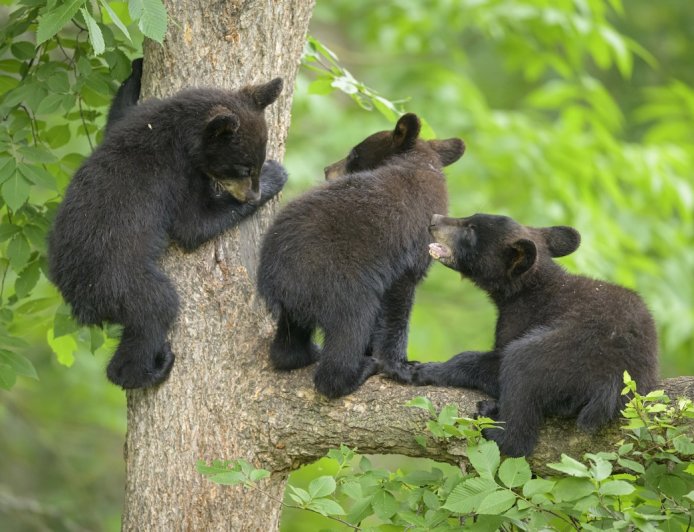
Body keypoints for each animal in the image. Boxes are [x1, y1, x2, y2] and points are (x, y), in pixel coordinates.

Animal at [48, 74, 288, 390]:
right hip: (120, 281)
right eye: (243, 168)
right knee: (156, 308)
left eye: (255, 164)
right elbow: (192, 224)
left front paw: (135, 71)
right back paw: (150, 369)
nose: (253, 195)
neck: (176, 128)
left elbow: (117, 115)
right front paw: (276, 176)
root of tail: (78, 301)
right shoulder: (175, 175)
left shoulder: (134, 119)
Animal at [257, 113, 465, 398]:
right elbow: (397, 307)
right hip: (339, 283)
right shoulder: (406, 254)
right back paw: (357, 370)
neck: (421, 165)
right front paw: (401, 366)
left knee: (289, 343)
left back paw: (303, 354)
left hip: (298, 301)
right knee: (352, 325)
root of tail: (273, 280)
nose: (327, 170)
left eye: (354, 154)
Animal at [384, 213, 659, 456]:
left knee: (521, 372)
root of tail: (614, 379)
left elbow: (494, 362)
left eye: (471, 229)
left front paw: (421, 369)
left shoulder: (521, 317)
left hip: (569, 353)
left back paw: (494, 423)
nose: (434, 219)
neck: (527, 288)